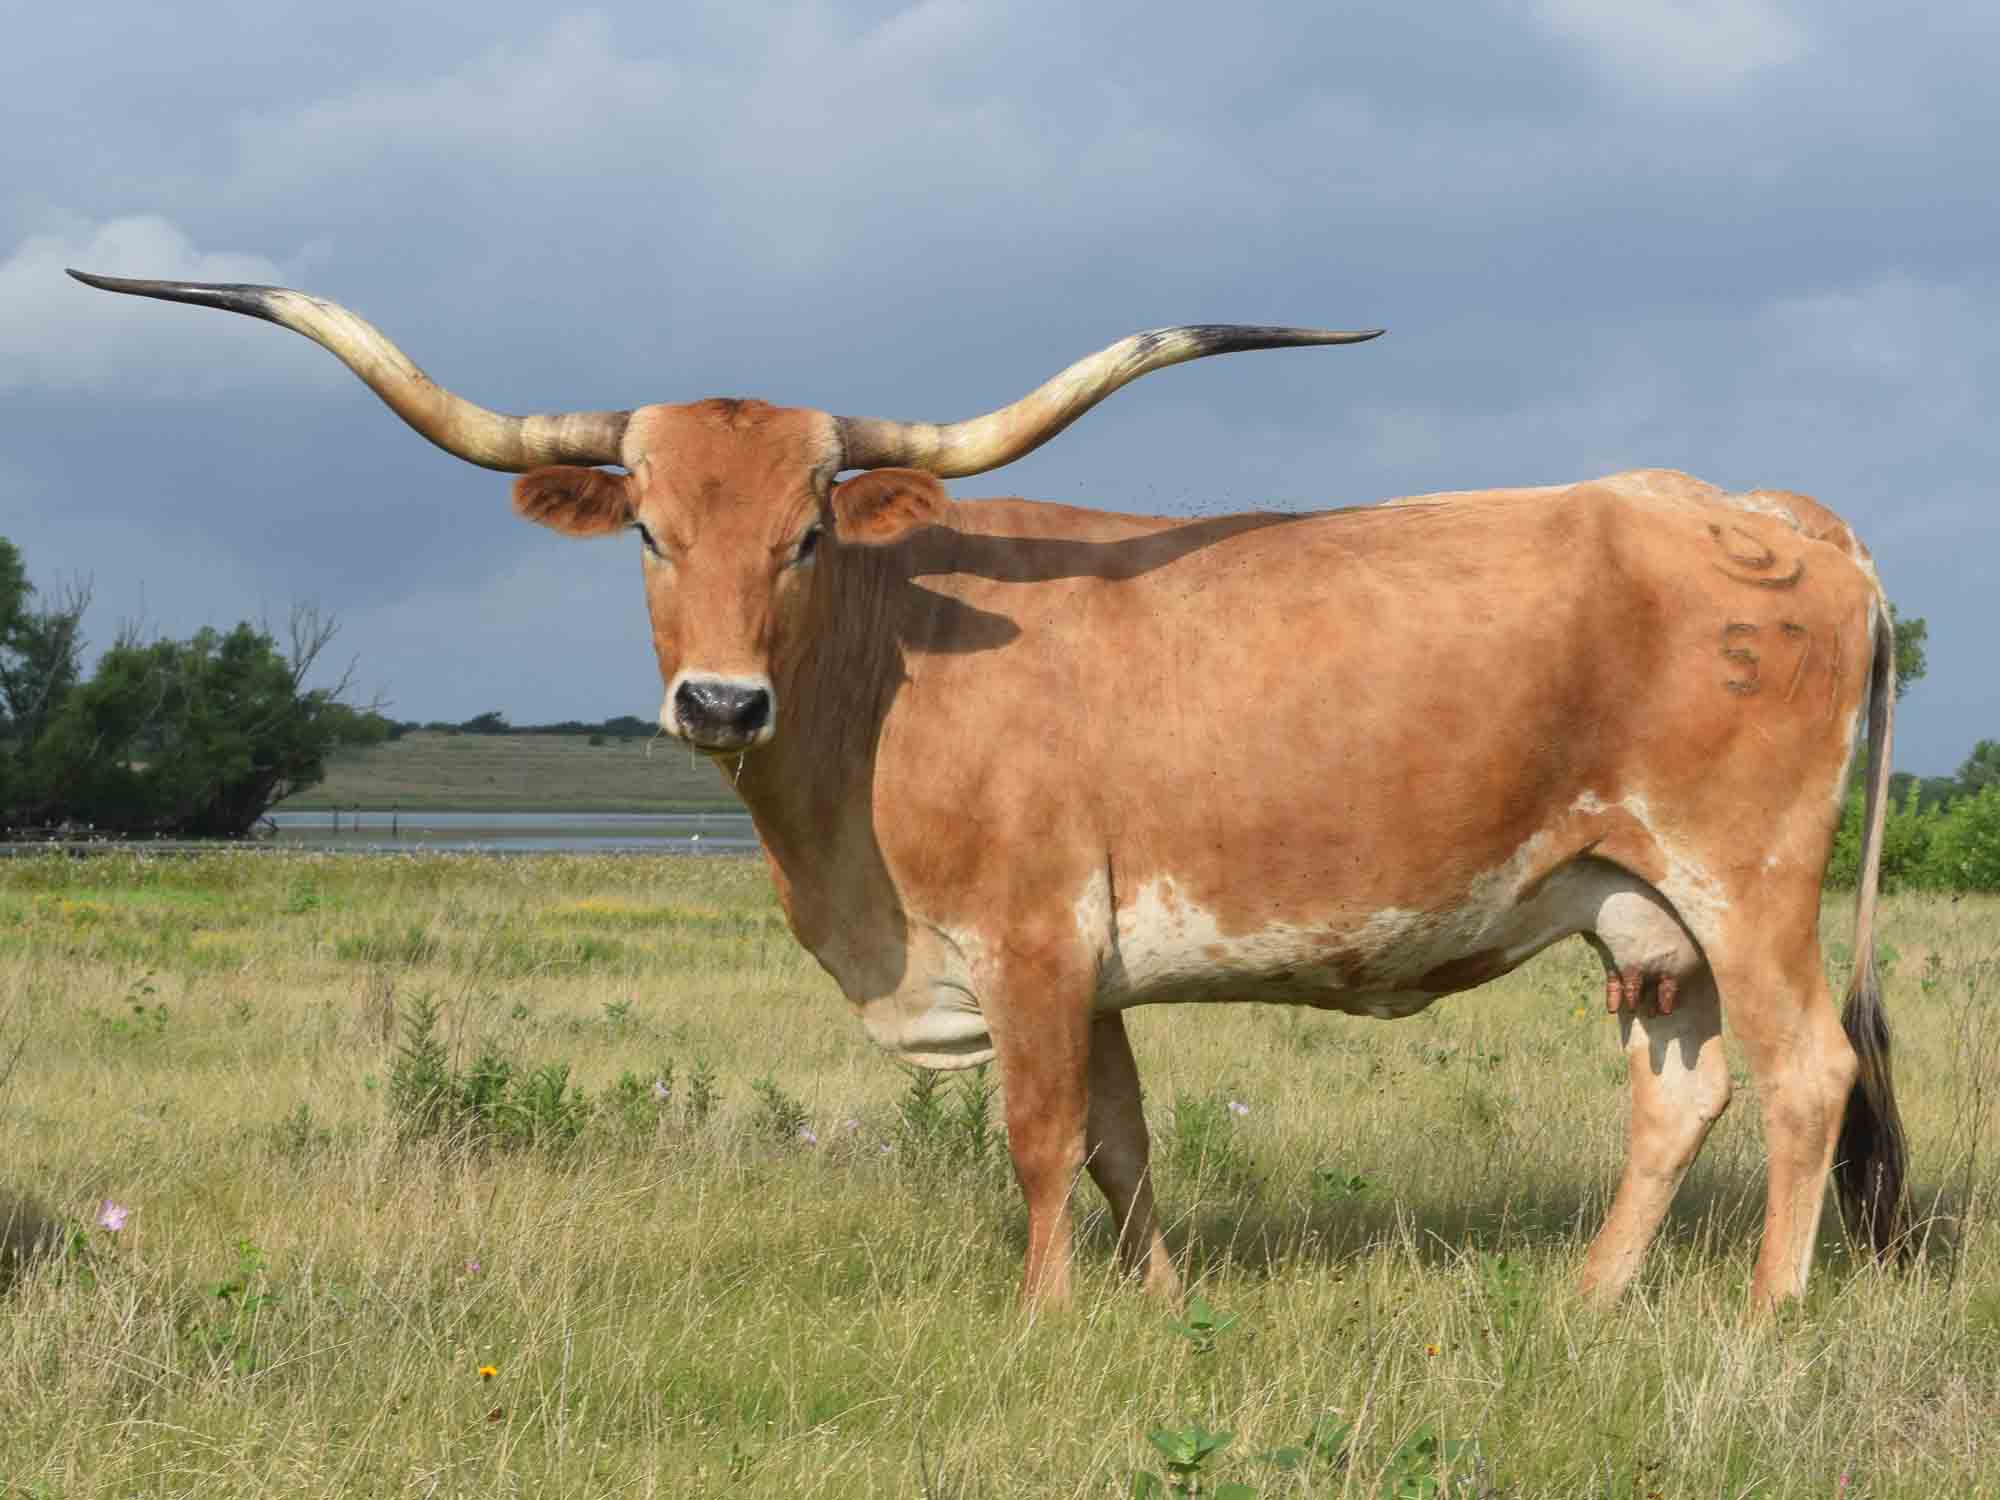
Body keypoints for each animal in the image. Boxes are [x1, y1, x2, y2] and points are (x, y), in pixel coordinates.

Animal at [70, 274, 1896, 1312]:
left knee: (1809, 1075)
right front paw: (1153, 1306)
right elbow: (1125, 1142)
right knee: (1682, 1095)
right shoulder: (1094, 968)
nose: (718, 697)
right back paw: (1589, 1302)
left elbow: (1037, 1137)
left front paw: (1043, 1321)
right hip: (1639, 912)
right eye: (649, 527)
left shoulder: (1026, 937)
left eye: (809, 531)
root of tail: (1769, 512)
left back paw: (1765, 1319)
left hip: (1748, 878)